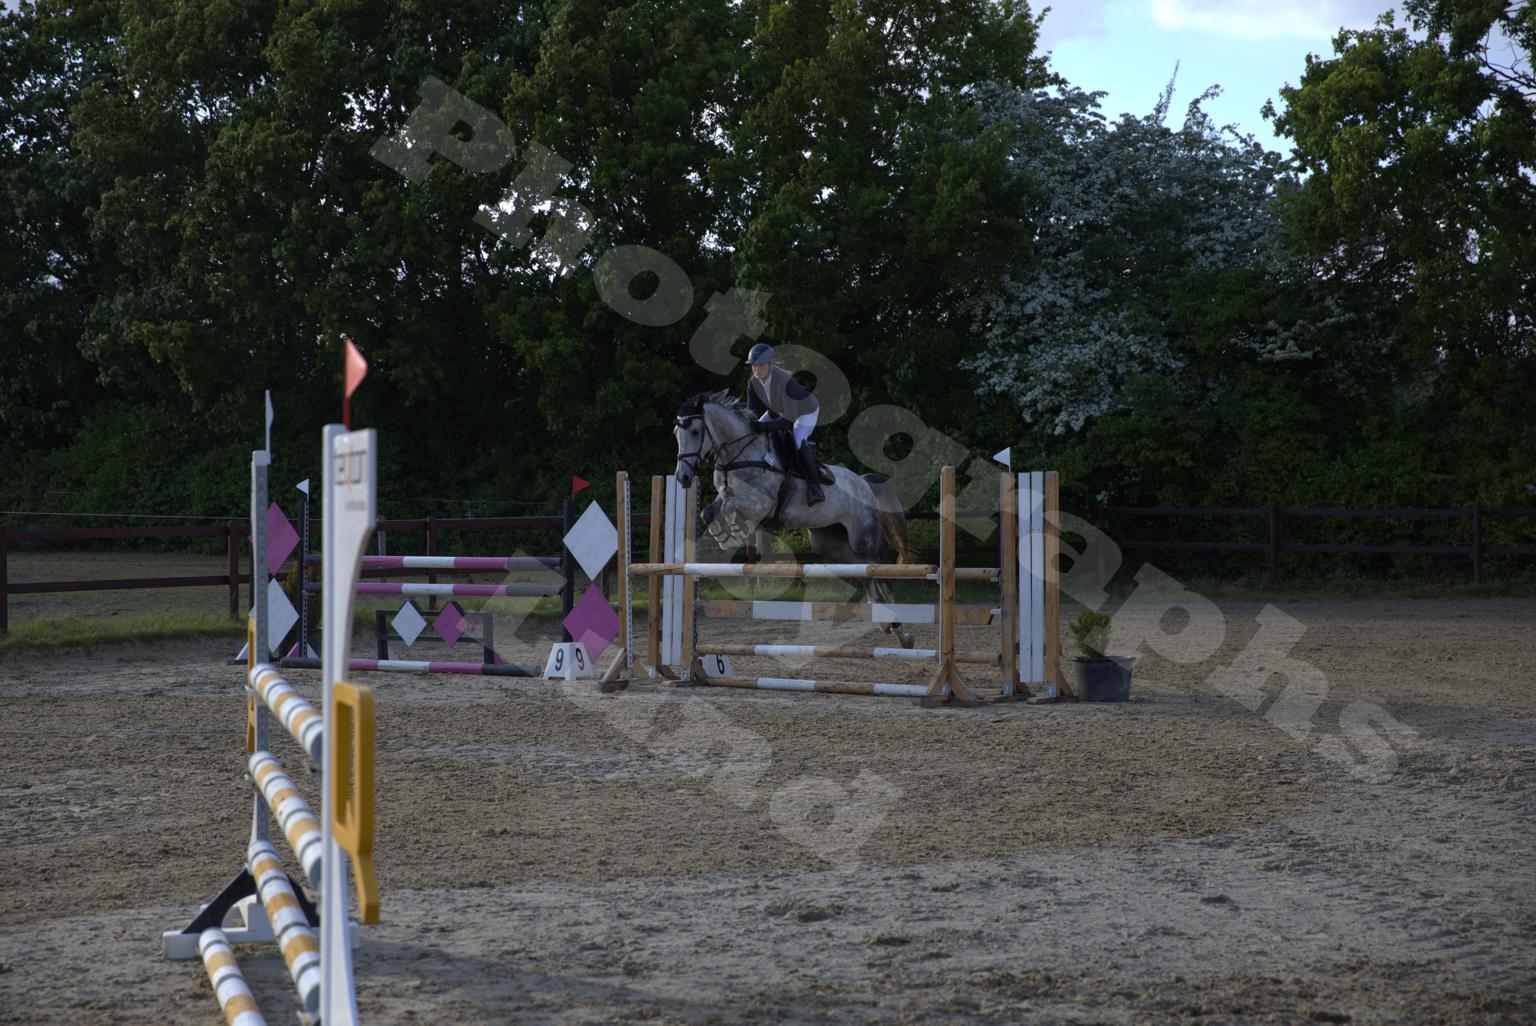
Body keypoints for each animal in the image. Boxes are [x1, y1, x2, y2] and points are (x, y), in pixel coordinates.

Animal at [672, 391, 917, 648]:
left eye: (695, 432)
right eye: (676, 433)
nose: (683, 477)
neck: (740, 455)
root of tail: (864, 482)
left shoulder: (762, 503)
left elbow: (732, 508)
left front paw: (735, 533)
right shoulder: (726, 495)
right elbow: (708, 512)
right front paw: (721, 535)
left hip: (863, 538)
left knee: (880, 577)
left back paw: (904, 634)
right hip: (829, 543)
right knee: (862, 572)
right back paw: (883, 623)